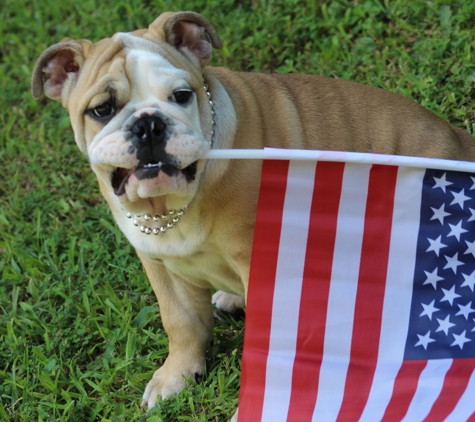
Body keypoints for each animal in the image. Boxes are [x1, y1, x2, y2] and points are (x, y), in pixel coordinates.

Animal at [32, 9, 475, 418]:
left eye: (181, 95)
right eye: (102, 109)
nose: (149, 125)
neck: (174, 206)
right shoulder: (159, 266)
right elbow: (181, 323)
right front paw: (177, 375)